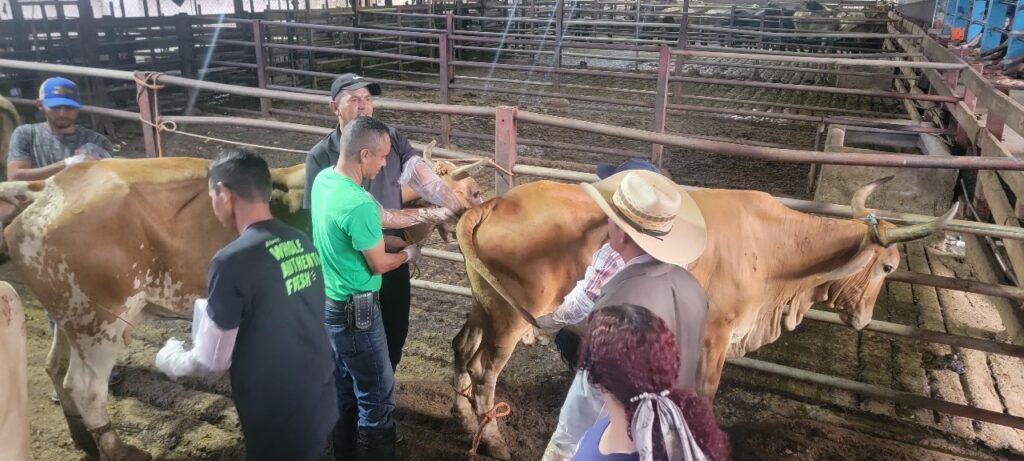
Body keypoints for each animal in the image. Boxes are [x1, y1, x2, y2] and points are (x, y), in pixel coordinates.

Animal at [0, 155, 481, 461]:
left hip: (71, 314)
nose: (473, 200)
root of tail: (51, 188)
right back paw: (119, 449)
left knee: (55, 368)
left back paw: (82, 438)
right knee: (85, 386)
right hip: (101, 318)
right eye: (465, 185)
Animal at [452, 176, 954, 456]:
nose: (865, 319)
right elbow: (707, 392)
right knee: (484, 369)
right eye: (889, 267)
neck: (771, 247)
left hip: (486, 305)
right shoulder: (718, 332)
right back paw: (493, 441)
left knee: (462, 348)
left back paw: (463, 421)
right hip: (511, 318)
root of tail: (495, 202)